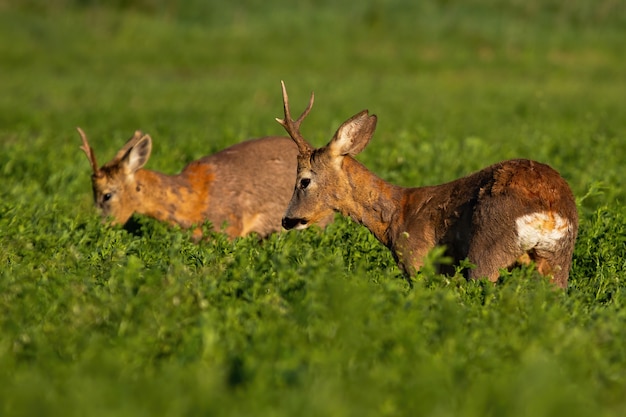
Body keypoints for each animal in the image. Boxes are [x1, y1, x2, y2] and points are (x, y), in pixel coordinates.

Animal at [276, 82, 576, 288]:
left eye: (304, 180)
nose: (287, 220)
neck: (396, 215)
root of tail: (549, 211)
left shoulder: (417, 260)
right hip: (557, 259)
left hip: (487, 250)